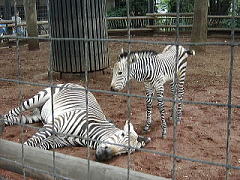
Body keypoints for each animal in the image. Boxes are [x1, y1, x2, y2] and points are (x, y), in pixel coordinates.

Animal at [0, 83, 150, 161]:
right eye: (122, 135)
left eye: (125, 153)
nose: (103, 156)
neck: (88, 135)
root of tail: (79, 84)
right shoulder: (56, 123)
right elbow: (32, 142)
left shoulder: (60, 140)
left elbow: (40, 146)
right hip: (41, 97)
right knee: (17, 109)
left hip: (37, 116)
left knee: (16, 118)